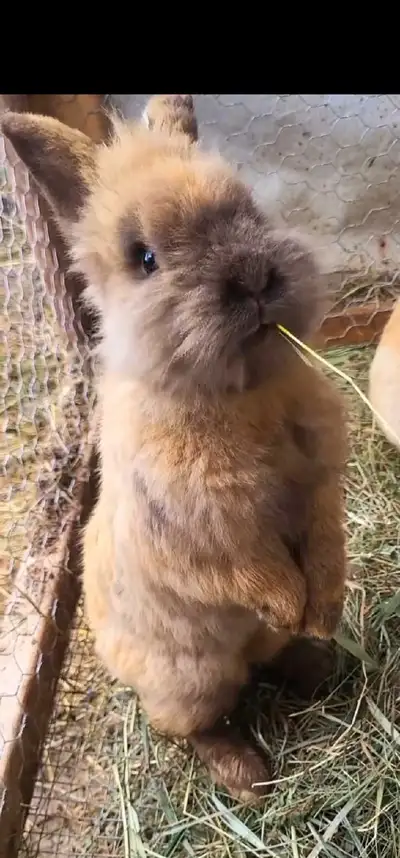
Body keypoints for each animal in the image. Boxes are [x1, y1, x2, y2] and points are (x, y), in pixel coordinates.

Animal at [1, 94, 348, 802]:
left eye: (248, 206)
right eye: (145, 258)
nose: (252, 276)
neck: (238, 392)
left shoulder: (321, 481)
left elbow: (326, 540)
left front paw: (322, 614)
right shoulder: (200, 531)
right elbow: (249, 568)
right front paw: (290, 606)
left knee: (267, 664)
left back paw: (320, 659)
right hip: (192, 680)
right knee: (191, 725)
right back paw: (249, 777)